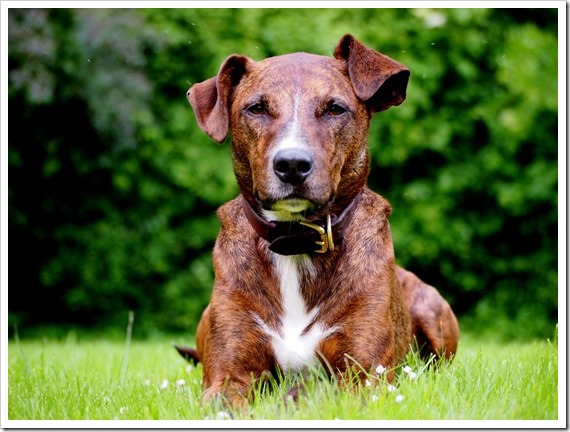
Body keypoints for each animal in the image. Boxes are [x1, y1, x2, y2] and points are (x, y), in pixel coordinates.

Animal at [178, 34, 459, 409]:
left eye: (335, 109)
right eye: (257, 108)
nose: (292, 164)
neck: (295, 238)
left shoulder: (363, 374)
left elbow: (315, 389)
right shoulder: (227, 371)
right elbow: (225, 399)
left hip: (432, 308)